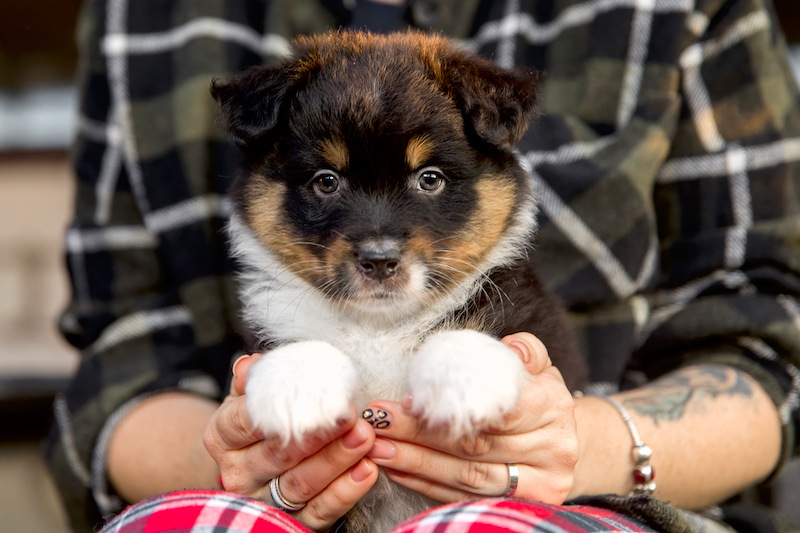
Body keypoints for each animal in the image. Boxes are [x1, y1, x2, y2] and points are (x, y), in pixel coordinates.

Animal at [212, 30, 588, 532]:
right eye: (326, 181)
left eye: (429, 178)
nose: (379, 261)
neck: (381, 326)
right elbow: (303, 339)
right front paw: (297, 387)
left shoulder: (529, 314)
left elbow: (471, 328)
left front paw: (466, 378)